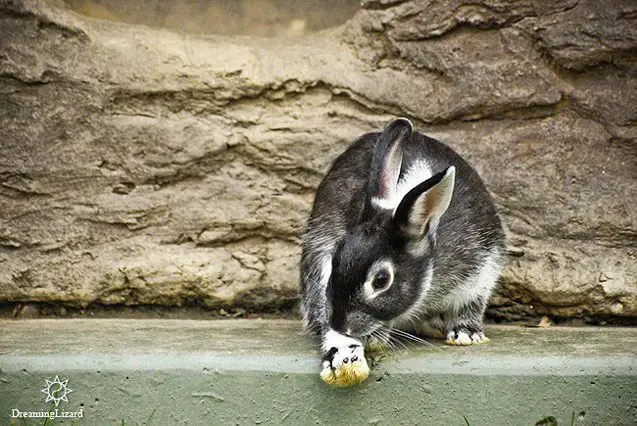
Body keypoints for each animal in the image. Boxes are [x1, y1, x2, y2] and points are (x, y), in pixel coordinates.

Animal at [300, 116, 506, 386]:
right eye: (336, 259)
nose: (340, 324)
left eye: (381, 280)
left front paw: (466, 334)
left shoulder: (483, 270)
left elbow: (470, 305)